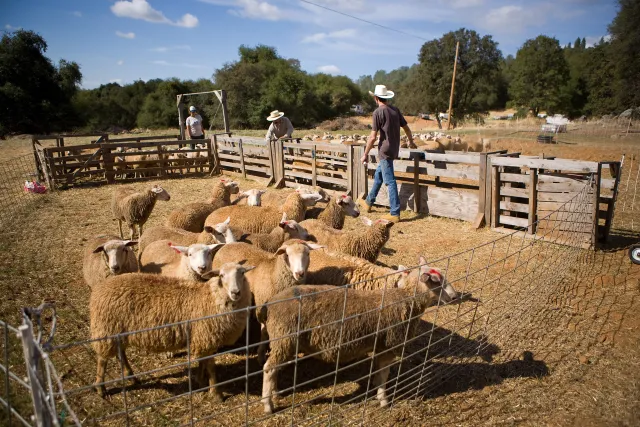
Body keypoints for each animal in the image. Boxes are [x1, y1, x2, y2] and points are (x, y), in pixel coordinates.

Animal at [90, 262, 254, 399]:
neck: (210, 298)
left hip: (119, 331)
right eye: (221, 275)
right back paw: (100, 388)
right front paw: (216, 393)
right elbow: (211, 367)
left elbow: (203, 362)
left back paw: (131, 376)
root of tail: (99, 289)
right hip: (107, 329)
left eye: (242, 273)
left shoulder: (202, 338)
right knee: (102, 359)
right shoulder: (206, 336)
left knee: (121, 353)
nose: (236, 292)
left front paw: (200, 381)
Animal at [258, 264, 450, 414]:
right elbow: (384, 374)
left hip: (284, 342)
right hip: (284, 338)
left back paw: (275, 393)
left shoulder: (380, 345)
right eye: (438, 281)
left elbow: (378, 371)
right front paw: (383, 399)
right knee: (268, 369)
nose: (454, 296)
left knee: (274, 369)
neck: (407, 299)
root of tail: (269, 305)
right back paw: (267, 405)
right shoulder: (389, 344)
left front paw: (376, 388)